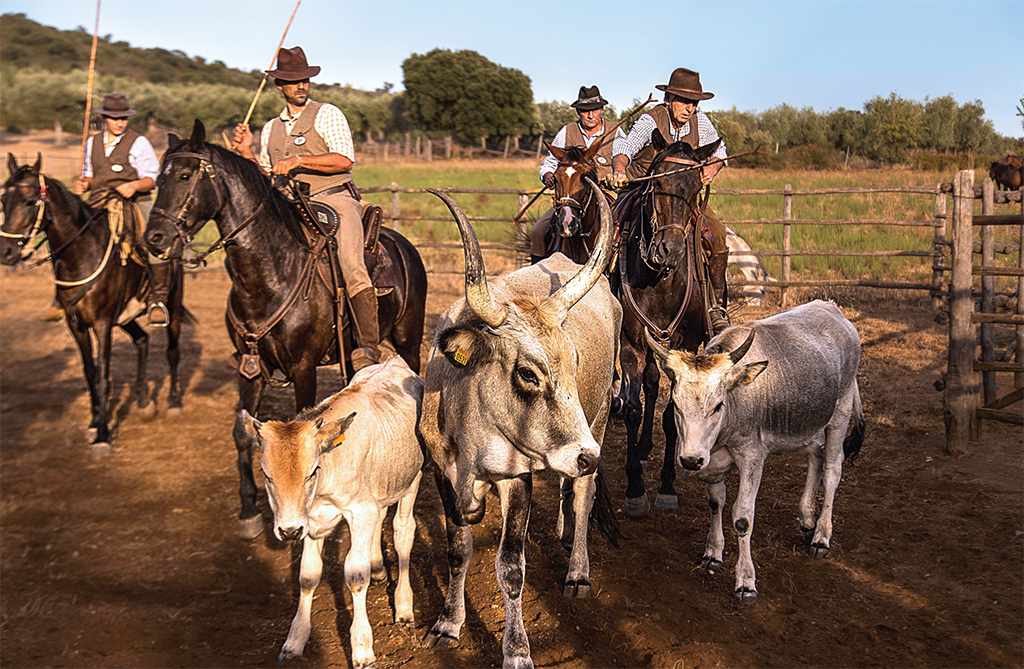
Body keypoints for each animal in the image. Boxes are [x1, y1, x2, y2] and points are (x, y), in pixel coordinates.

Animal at [1, 152, 188, 454]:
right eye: (3, 201)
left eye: (30, 201)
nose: (6, 252)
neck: (82, 253)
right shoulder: (77, 324)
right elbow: (90, 372)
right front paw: (94, 422)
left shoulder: (102, 324)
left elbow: (102, 375)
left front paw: (102, 435)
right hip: (124, 316)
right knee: (142, 339)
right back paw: (144, 402)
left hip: (173, 304)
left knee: (172, 350)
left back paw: (173, 403)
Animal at [142, 119, 425, 536]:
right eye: (158, 179)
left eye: (184, 175)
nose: (154, 239)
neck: (270, 274)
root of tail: (404, 245)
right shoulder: (250, 367)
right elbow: (242, 436)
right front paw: (248, 511)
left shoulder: (303, 368)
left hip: (408, 340)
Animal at [240, 356, 423, 663]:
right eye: (266, 475)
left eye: (312, 471)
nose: (288, 531)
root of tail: (392, 361)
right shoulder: (311, 521)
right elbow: (308, 575)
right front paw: (295, 640)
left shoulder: (360, 511)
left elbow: (356, 575)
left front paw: (362, 649)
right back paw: (378, 568)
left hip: (412, 479)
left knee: (403, 533)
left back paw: (404, 605)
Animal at [610, 132, 724, 516]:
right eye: (656, 184)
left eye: (695, 188)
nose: (668, 250)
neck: (660, 279)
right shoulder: (631, 344)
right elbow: (633, 408)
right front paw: (634, 489)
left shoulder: (685, 344)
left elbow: (673, 413)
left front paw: (667, 487)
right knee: (648, 383)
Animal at [647, 299, 864, 602]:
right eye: (677, 406)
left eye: (718, 405)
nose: (690, 460)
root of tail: (833, 310)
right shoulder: (713, 461)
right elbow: (715, 503)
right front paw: (713, 553)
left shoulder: (752, 456)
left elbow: (742, 518)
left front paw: (745, 581)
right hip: (809, 420)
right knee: (816, 455)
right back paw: (807, 517)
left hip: (840, 412)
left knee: (832, 469)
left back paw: (821, 536)